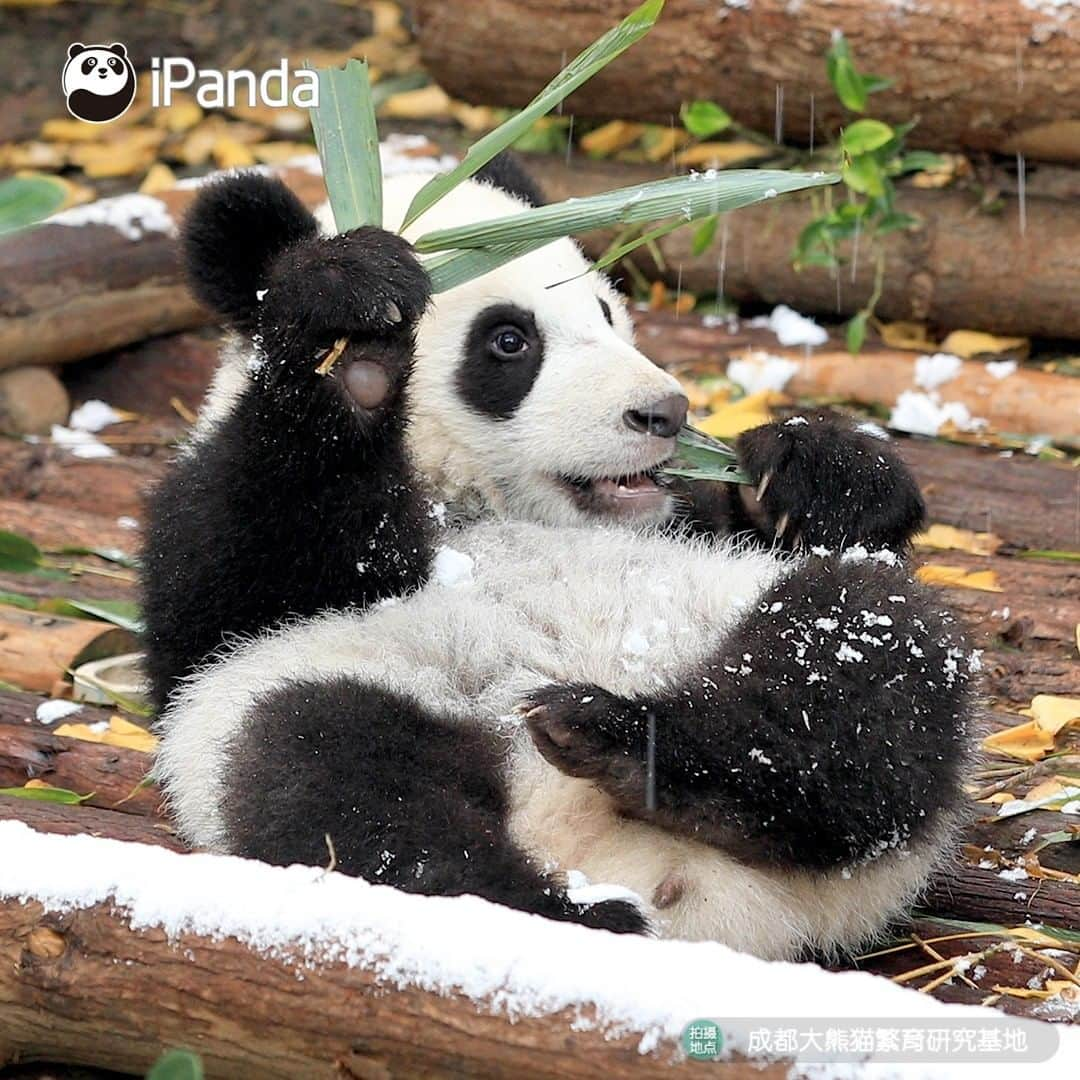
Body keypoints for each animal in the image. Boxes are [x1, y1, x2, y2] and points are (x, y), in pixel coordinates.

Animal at [139, 156, 976, 959]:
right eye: (509, 341)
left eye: (604, 312)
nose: (663, 412)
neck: (491, 507)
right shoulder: (251, 579)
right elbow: (227, 570)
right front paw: (352, 335)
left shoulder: (682, 524)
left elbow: (806, 534)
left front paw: (805, 471)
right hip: (329, 687)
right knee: (327, 770)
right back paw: (562, 906)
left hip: (742, 624)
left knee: (855, 660)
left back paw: (637, 748)